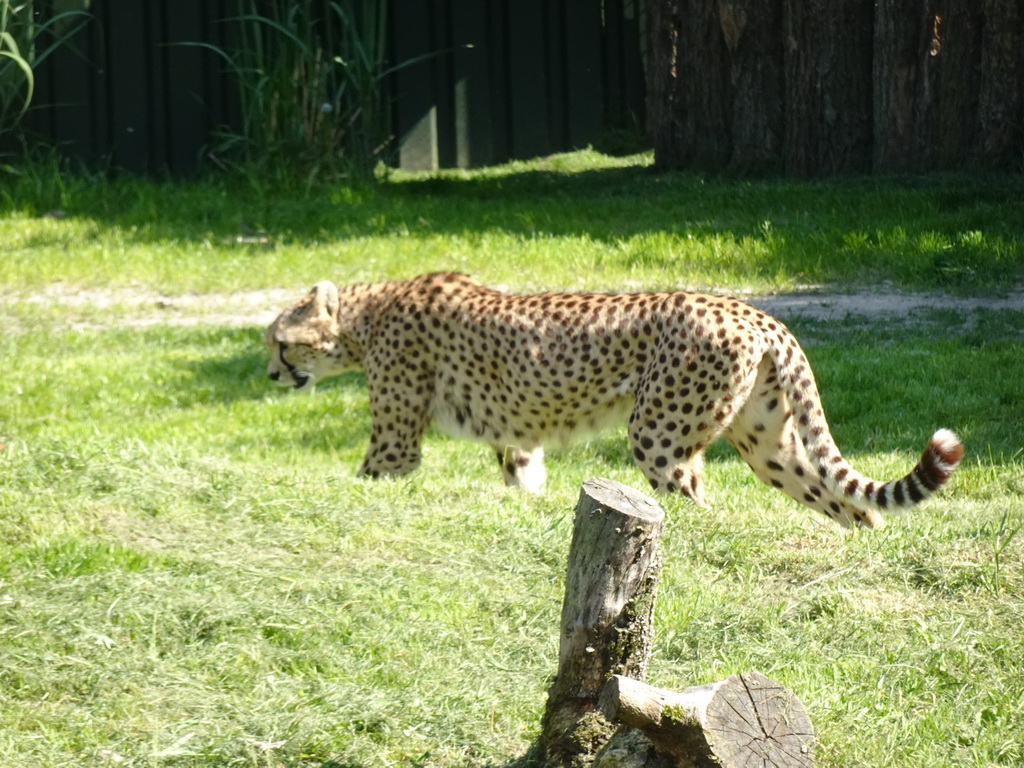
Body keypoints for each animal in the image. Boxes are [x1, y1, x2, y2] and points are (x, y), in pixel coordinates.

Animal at [264, 274, 958, 532]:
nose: (270, 373)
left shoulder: (394, 444)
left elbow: (371, 473)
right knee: (846, 504)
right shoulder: (518, 439)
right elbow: (524, 476)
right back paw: (864, 546)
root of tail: (754, 312)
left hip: (658, 433)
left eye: (278, 339)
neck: (364, 314)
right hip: (766, 442)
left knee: (693, 499)